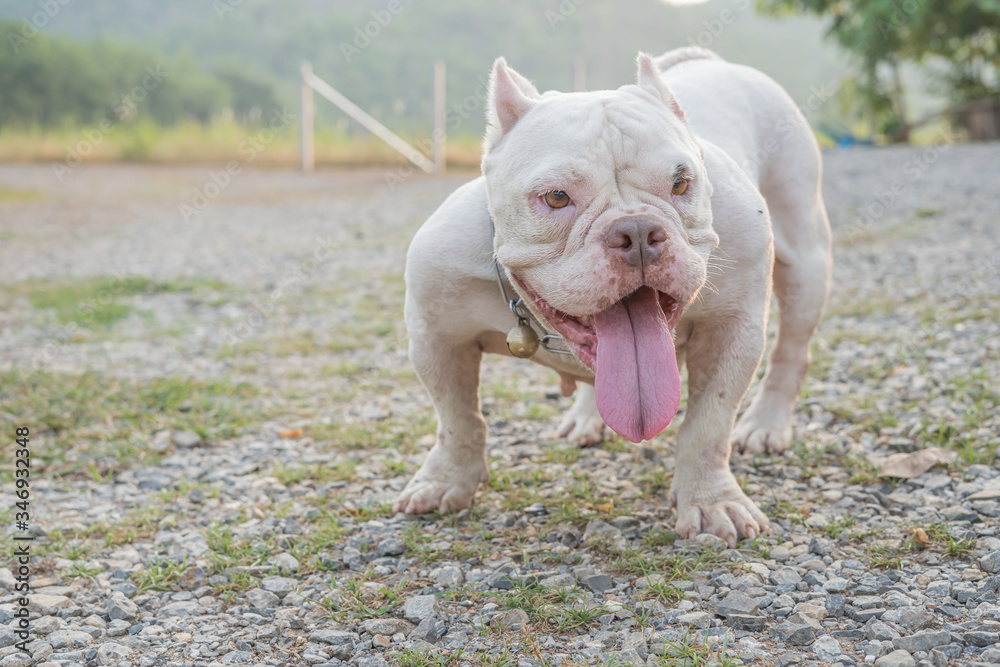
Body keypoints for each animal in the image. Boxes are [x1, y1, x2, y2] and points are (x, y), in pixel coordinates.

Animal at [394, 48, 832, 548]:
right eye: (556, 197)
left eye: (681, 184)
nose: (638, 231)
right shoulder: (437, 338)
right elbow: (458, 419)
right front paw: (445, 480)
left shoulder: (732, 331)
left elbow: (708, 426)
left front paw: (711, 502)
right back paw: (587, 418)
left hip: (805, 261)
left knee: (791, 352)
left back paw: (766, 425)